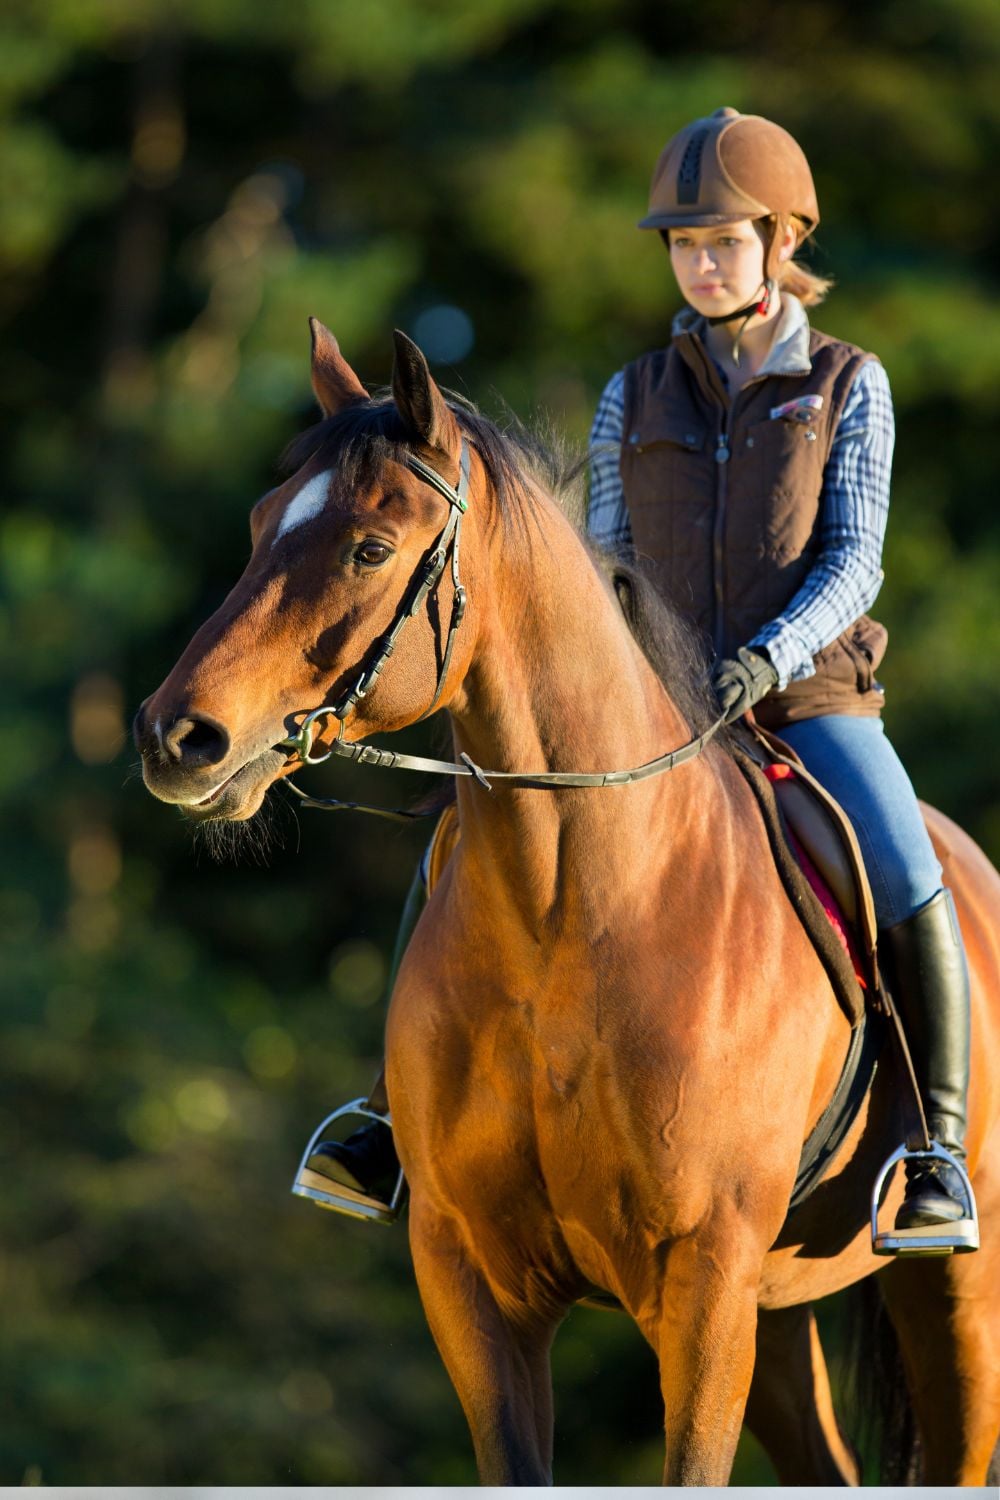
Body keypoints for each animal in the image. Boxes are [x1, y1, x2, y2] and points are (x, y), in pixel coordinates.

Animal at [134, 320, 1000, 1485]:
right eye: (265, 524)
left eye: (369, 550)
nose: (176, 738)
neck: (569, 918)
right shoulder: (475, 1284)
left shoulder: (702, 1291)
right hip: (778, 1318)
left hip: (951, 1294)